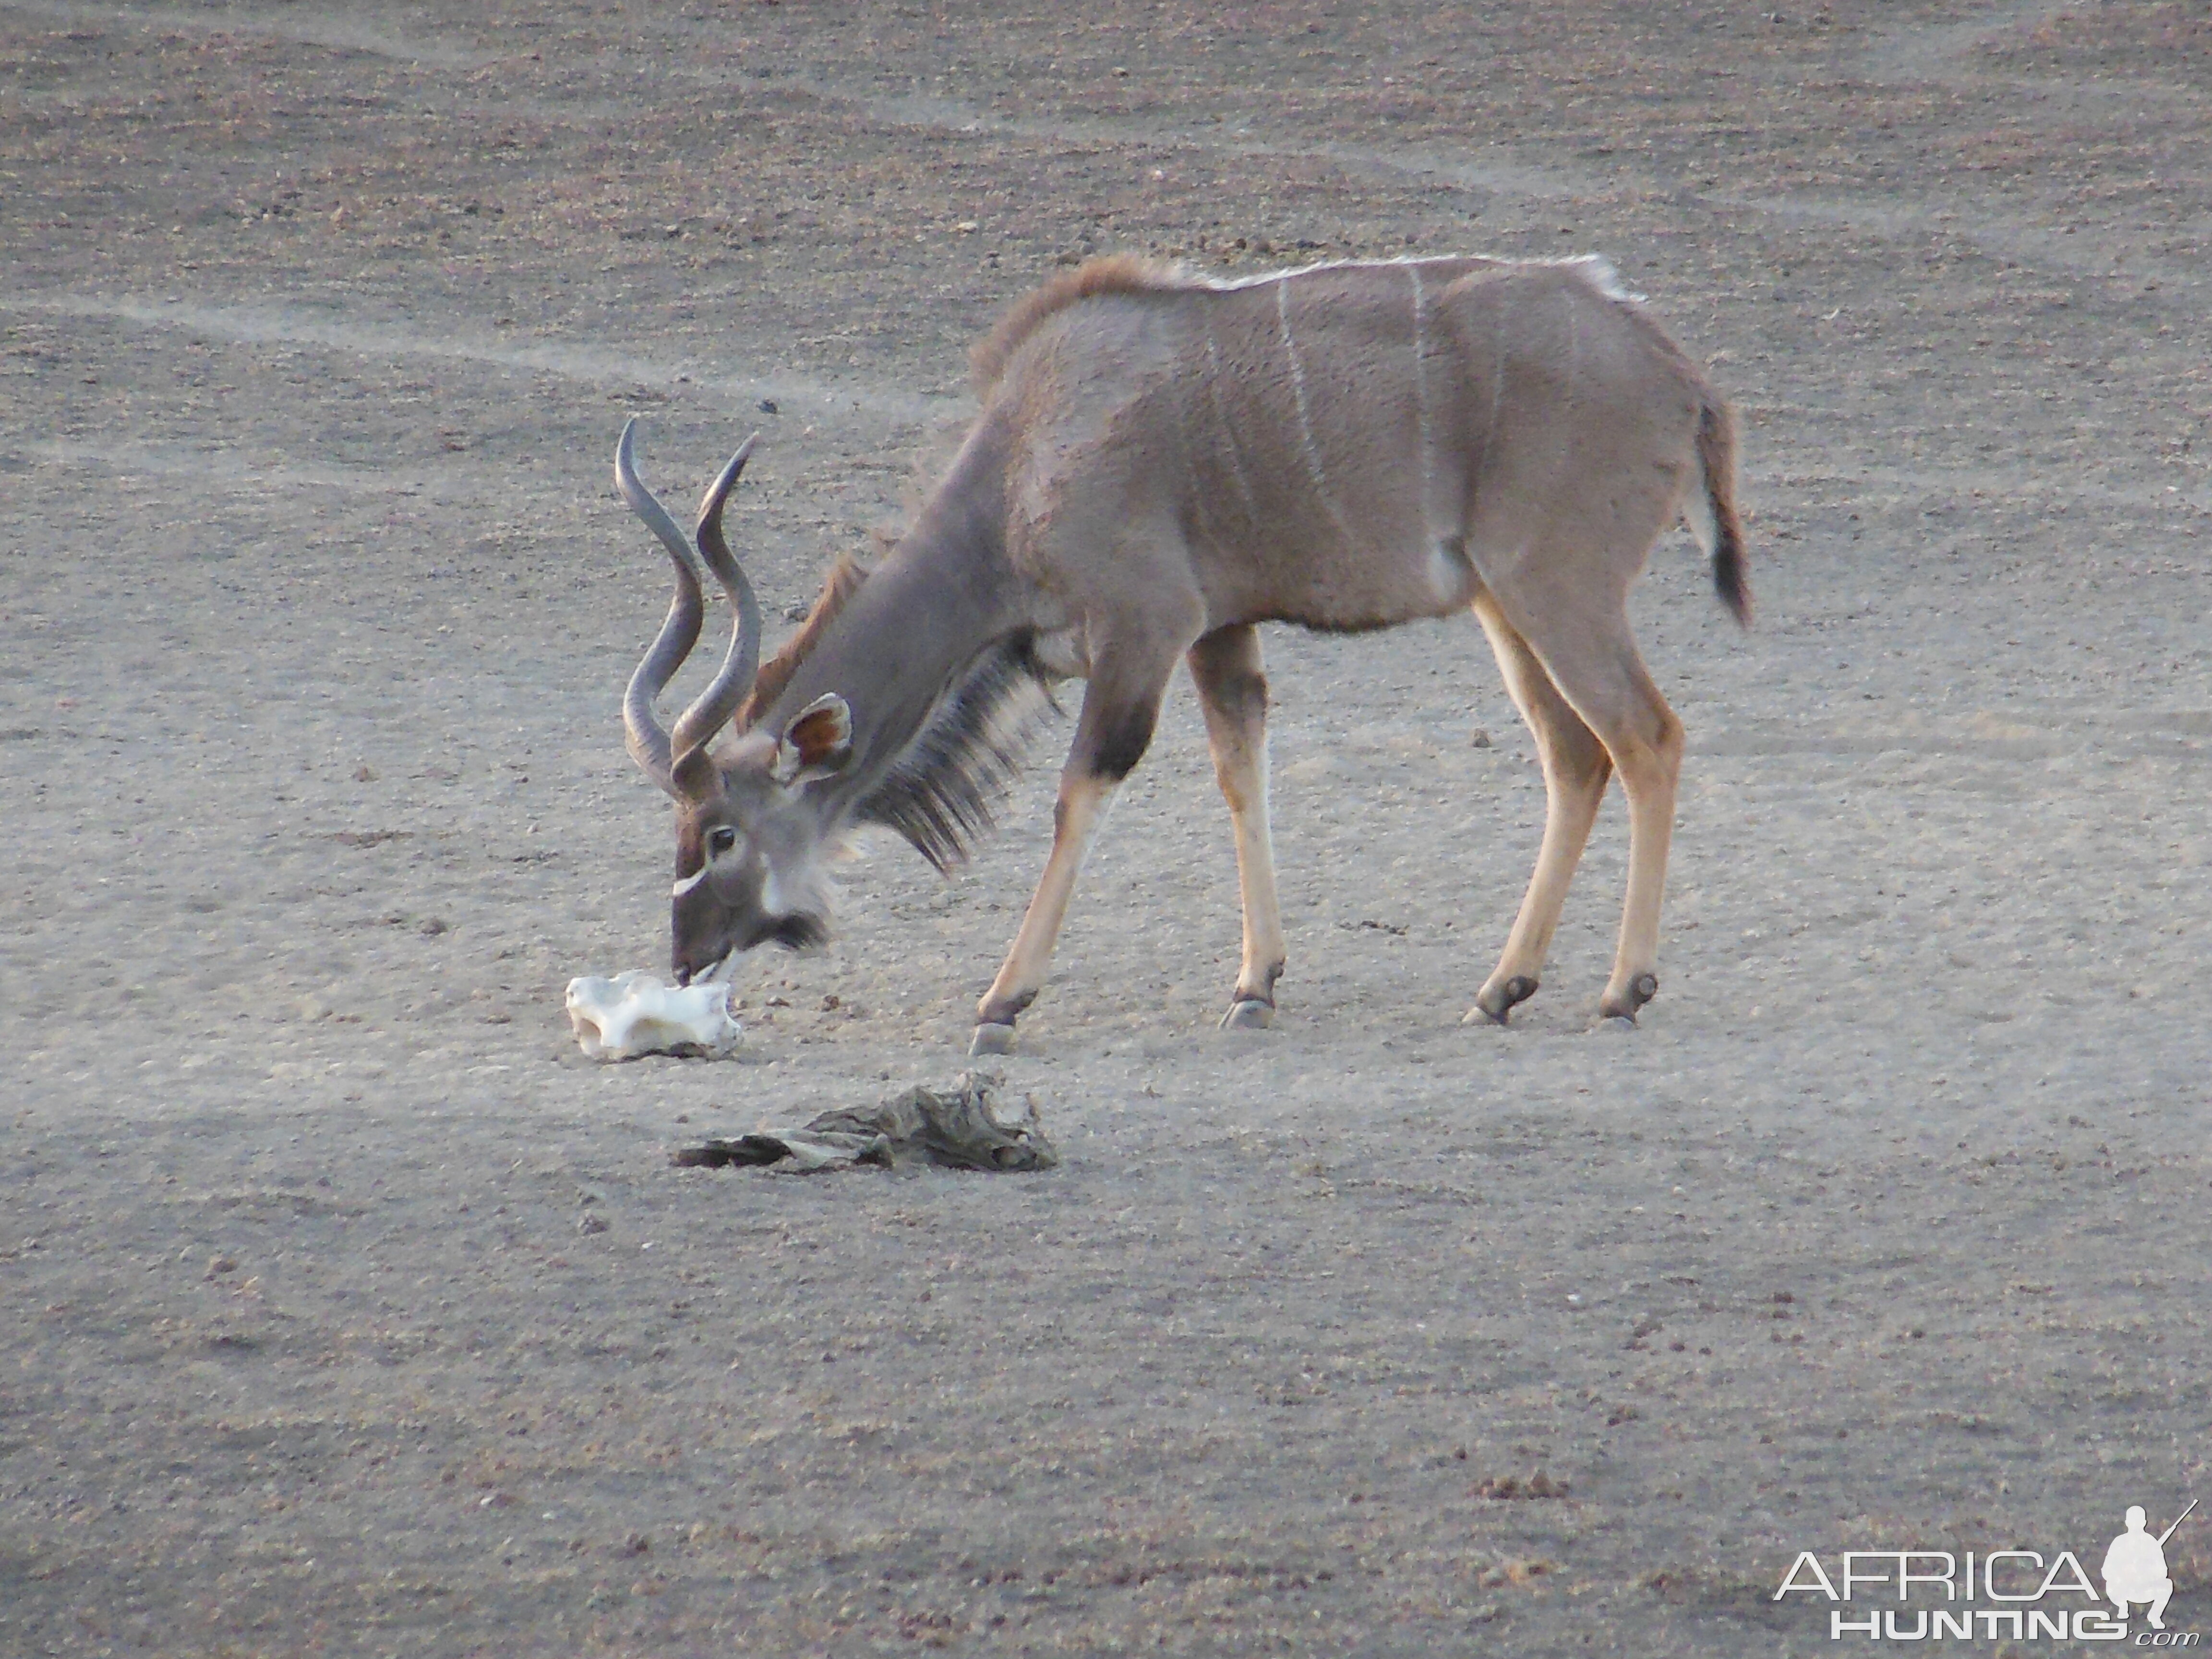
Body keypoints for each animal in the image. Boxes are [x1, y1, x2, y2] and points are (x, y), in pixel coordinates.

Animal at [610, 253, 1743, 1057]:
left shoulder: (1145, 628)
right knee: (1575, 754)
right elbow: (1241, 773)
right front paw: (1254, 987)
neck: (1025, 462)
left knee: (1647, 736)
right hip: (1505, 607)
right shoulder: (1218, 632)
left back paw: (1621, 991)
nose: (687, 955)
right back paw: (1503, 987)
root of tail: (1678, 371)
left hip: (1558, 590)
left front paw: (1003, 1001)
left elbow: (1083, 789)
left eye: (719, 834)